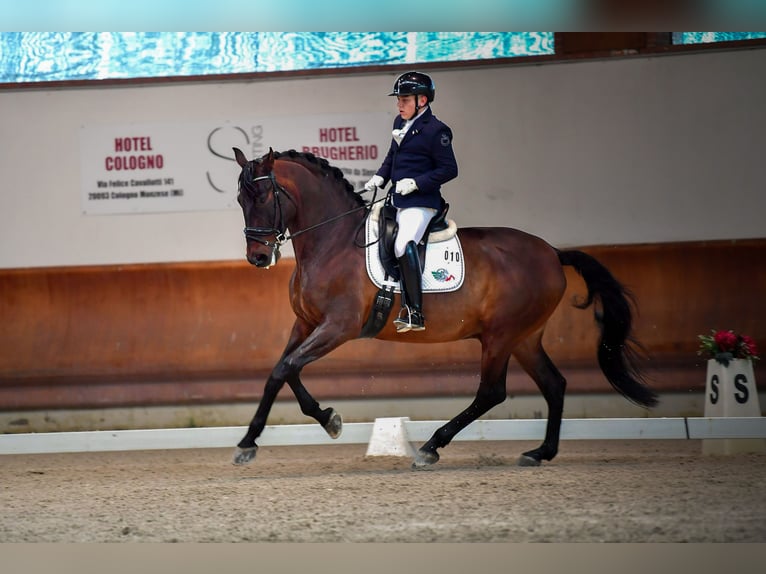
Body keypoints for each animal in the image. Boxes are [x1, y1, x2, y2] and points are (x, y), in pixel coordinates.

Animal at [231, 147, 658, 467]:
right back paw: (540, 452)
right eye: (239, 200)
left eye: (264, 197)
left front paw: (308, 426)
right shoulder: (306, 324)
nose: (257, 257)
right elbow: (280, 371)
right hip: (524, 338)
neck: (331, 241)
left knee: (491, 392)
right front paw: (266, 435)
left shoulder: (338, 326)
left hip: (501, 336)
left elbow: (286, 368)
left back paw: (431, 447)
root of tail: (552, 252)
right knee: (554, 384)